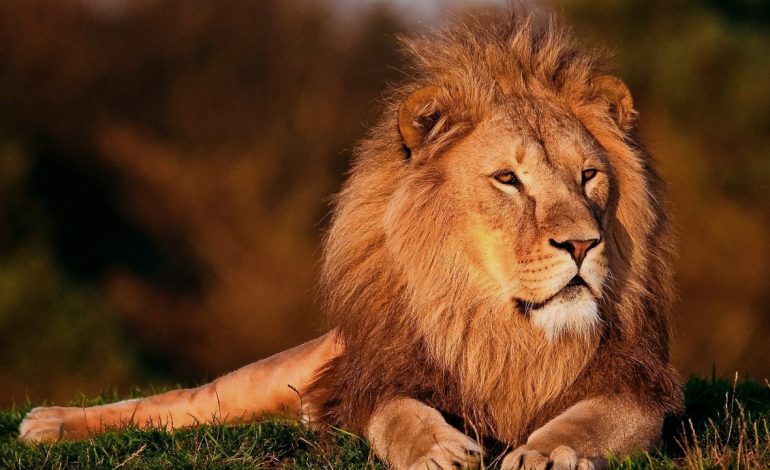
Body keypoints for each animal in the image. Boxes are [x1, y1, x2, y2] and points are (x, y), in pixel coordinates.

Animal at [18, 11, 682, 470]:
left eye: (588, 175)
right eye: (508, 180)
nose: (583, 245)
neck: (501, 330)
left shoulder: (636, 388)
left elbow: (589, 421)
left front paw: (547, 452)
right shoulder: (379, 380)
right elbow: (399, 415)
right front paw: (437, 449)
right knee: (182, 402)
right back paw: (47, 423)